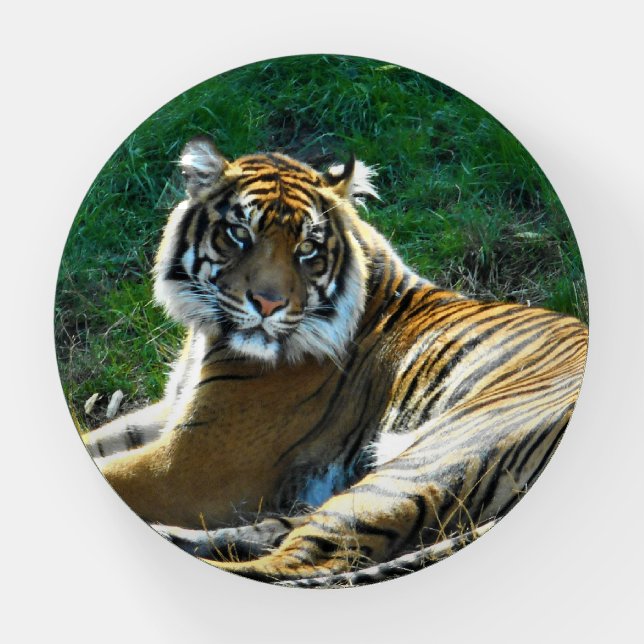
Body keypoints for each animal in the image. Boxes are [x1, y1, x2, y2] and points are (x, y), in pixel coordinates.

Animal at [82, 135, 588, 588]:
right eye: (240, 234)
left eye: (307, 247)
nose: (268, 304)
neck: (208, 333)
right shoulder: (172, 411)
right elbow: (98, 442)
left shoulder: (190, 462)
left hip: (430, 460)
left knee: (307, 564)